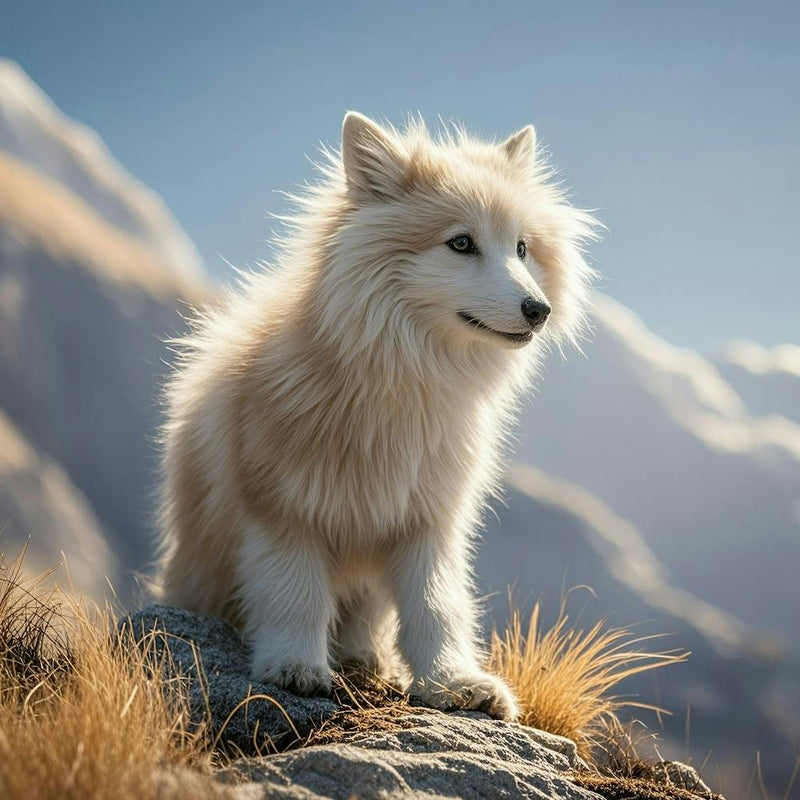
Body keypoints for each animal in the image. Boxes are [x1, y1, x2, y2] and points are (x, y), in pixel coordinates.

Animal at [156, 112, 597, 720]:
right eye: (462, 243)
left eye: (523, 248)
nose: (539, 310)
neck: (400, 386)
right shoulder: (283, 510)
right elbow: (295, 599)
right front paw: (295, 668)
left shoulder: (428, 520)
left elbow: (437, 609)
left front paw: (451, 682)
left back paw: (366, 660)